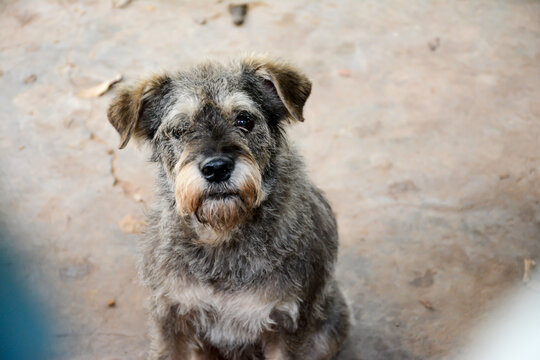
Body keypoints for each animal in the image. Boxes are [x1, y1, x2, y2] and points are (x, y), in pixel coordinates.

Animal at [106, 57, 350, 360]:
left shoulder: (288, 322)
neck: (222, 235)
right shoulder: (171, 316)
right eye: (179, 129)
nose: (216, 168)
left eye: (244, 119)